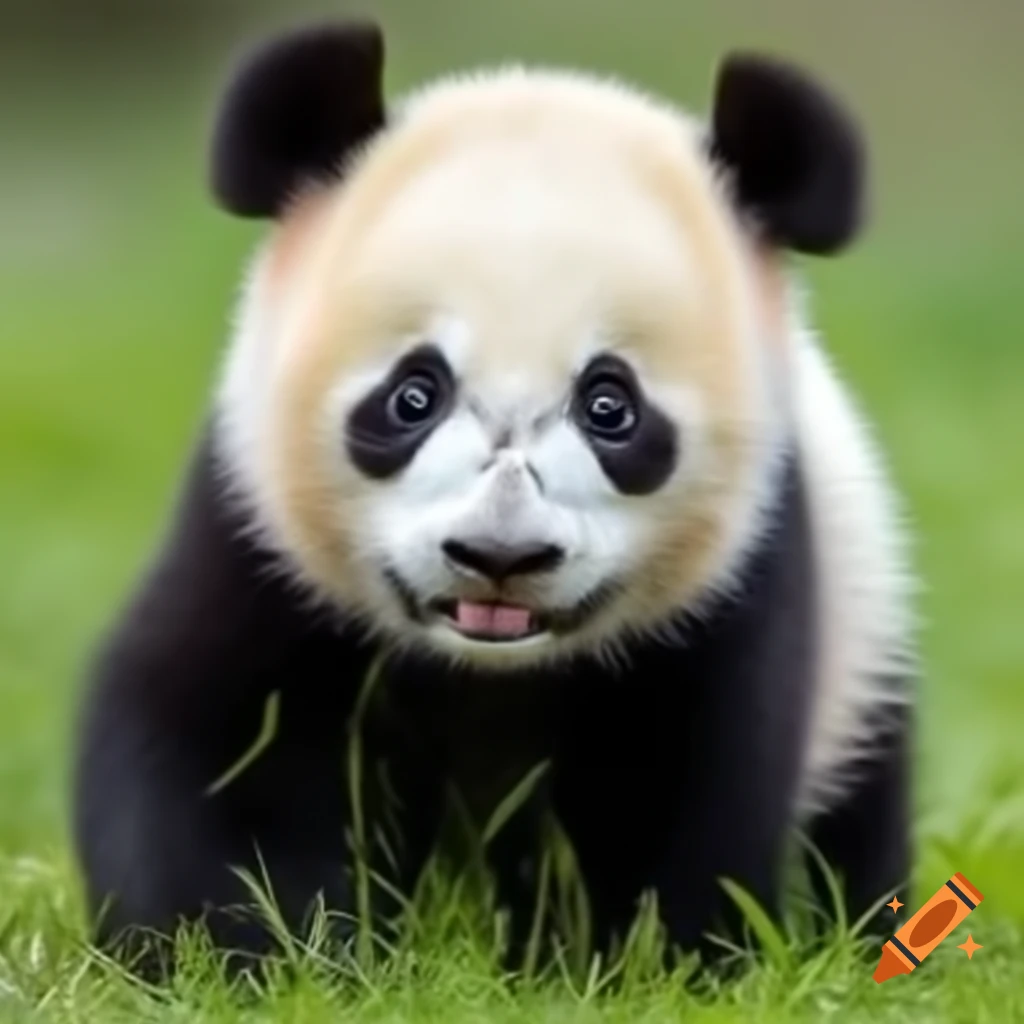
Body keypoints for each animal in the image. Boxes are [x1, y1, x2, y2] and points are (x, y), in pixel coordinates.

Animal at [73, 20, 915, 972]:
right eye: (414, 394)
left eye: (610, 406)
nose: (499, 555)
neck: (490, 663)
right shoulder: (257, 542)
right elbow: (216, 745)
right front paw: (263, 954)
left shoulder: (735, 585)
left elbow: (678, 792)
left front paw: (617, 963)